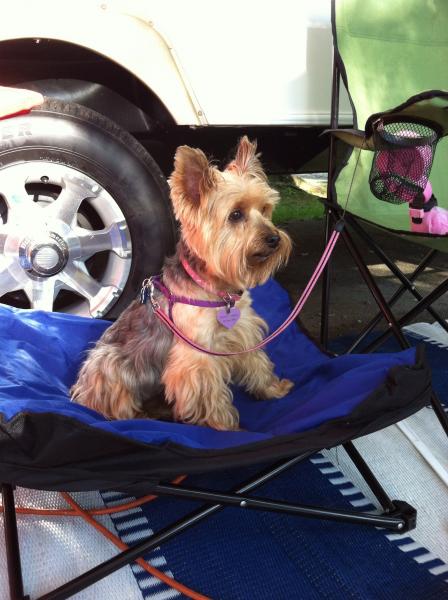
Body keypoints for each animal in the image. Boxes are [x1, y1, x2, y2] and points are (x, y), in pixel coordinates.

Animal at [70, 137, 294, 428]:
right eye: (235, 215)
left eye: (265, 209)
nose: (274, 239)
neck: (216, 289)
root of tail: (78, 392)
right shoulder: (197, 359)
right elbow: (210, 395)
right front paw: (225, 427)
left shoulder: (243, 331)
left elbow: (257, 363)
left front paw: (273, 389)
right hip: (109, 362)